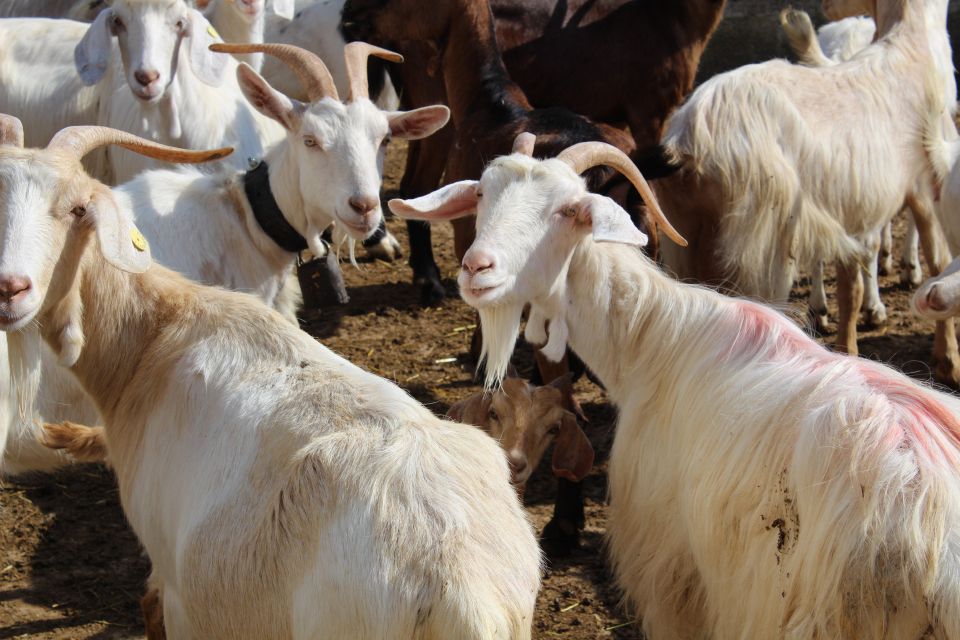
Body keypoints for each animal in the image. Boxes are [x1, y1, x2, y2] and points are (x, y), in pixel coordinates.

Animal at [652, 0, 960, 388]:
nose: (826, 7)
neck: (913, 51)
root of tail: (688, 140)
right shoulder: (926, 189)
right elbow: (938, 262)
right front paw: (949, 362)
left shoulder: (850, 212)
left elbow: (850, 289)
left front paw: (849, 351)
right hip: (758, 246)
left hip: (686, 238)